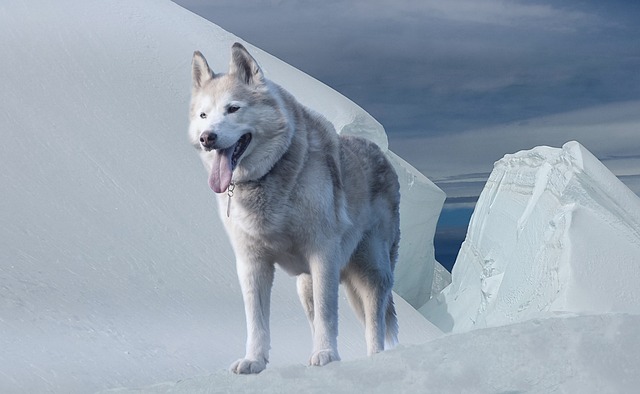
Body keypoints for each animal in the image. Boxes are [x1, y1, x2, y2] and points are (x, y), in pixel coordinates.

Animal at [189, 43, 400, 376]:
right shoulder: (252, 263)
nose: (207, 137)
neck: (267, 178)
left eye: (233, 109)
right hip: (306, 284)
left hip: (371, 270)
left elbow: (329, 314)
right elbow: (257, 321)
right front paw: (254, 361)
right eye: (203, 114)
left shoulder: (322, 253)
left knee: (374, 323)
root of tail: (380, 153)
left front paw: (326, 355)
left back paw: (374, 357)